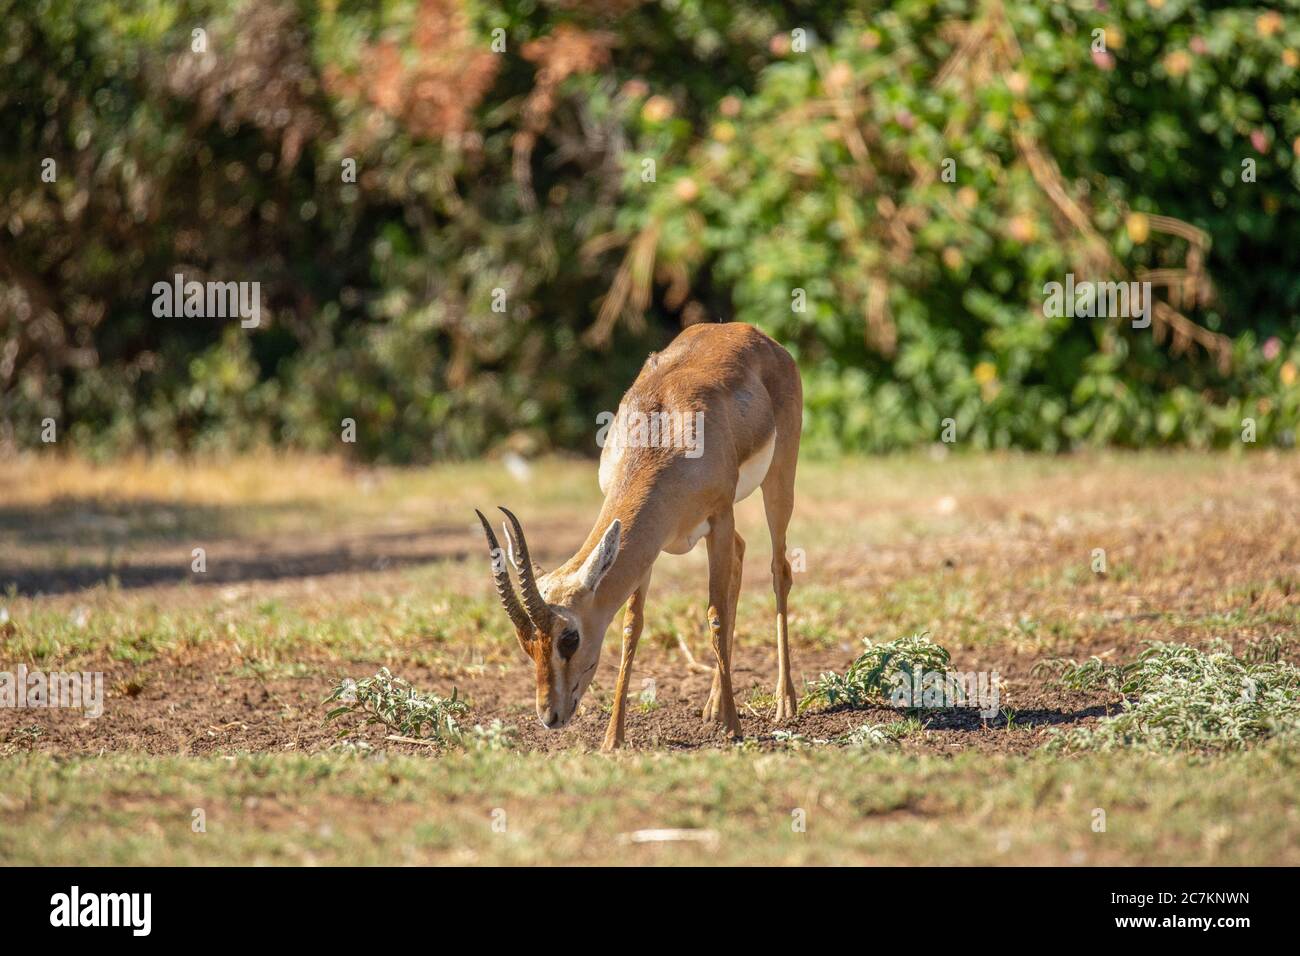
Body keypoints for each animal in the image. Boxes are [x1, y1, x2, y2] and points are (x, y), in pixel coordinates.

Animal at [475, 321, 802, 750]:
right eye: (525, 643)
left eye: (569, 638)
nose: (550, 716)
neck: (663, 436)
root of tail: (759, 336)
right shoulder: (648, 547)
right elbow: (632, 626)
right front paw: (612, 738)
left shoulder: (719, 515)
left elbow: (714, 614)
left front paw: (734, 728)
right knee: (741, 557)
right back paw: (713, 707)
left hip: (778, 481)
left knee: (779, 569)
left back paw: (784, 702)